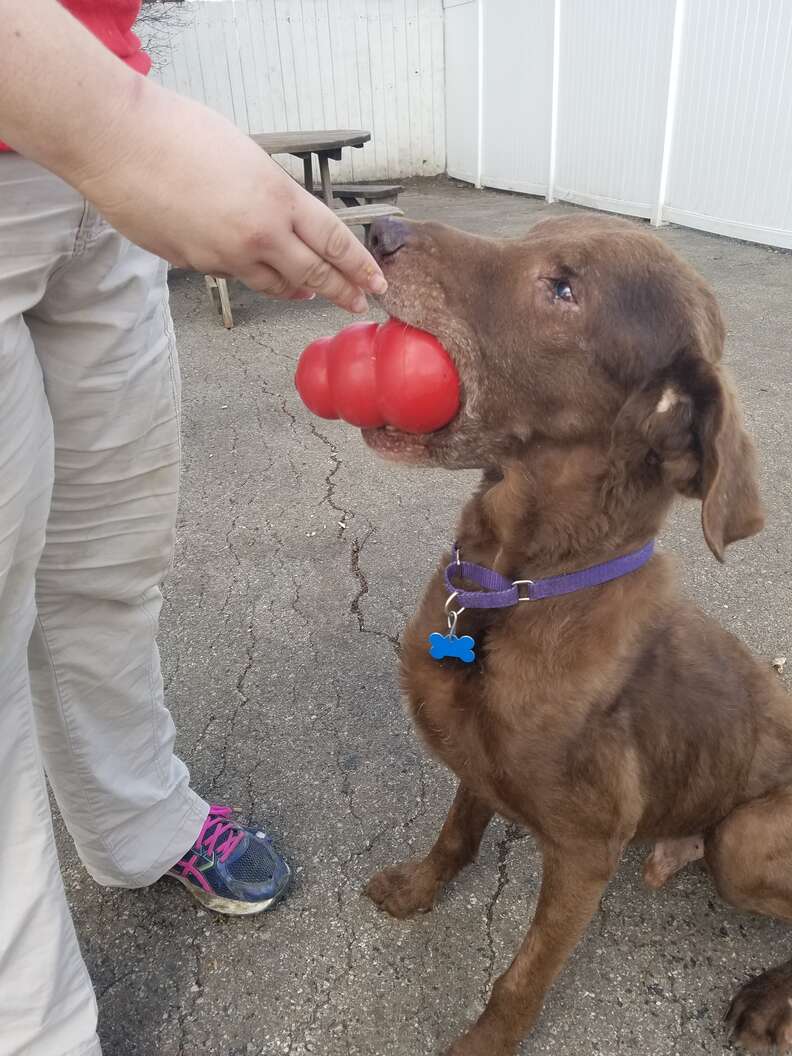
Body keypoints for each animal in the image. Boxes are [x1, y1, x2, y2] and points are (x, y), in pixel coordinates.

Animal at [363, 214, 792, 1056]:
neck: (514, 589)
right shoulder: (478, 765)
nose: (379, 228)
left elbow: (523, 976)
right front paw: (417, 888)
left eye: (563, 289)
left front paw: (484, 1044)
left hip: (747, 836)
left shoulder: (585, 857)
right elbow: (456, 834)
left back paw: (769, 1001)